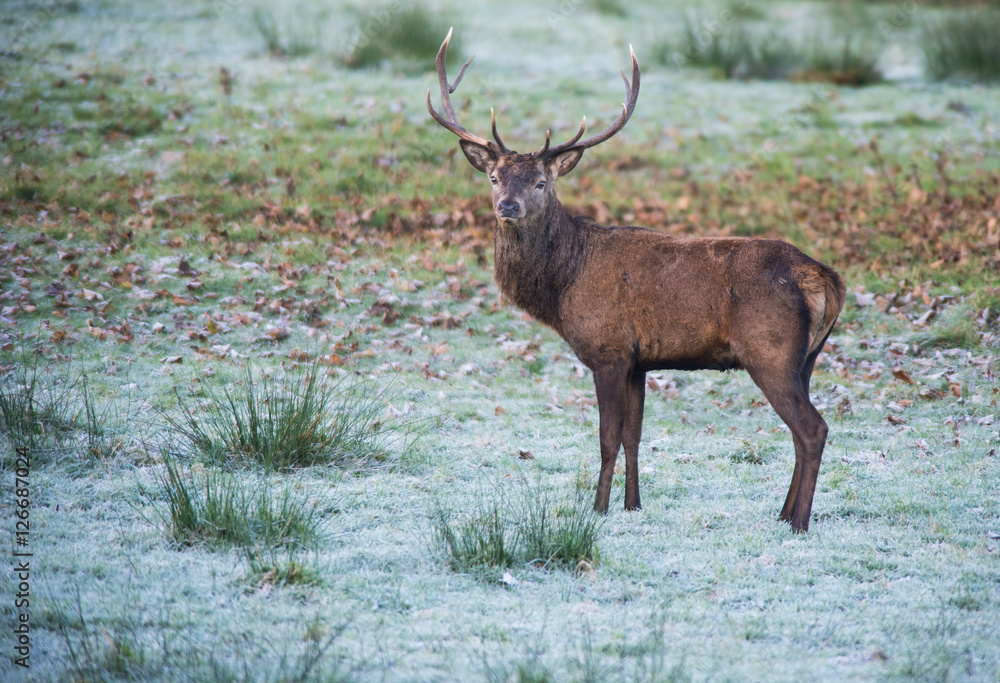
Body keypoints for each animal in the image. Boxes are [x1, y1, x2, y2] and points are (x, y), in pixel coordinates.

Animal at [426, 29, 846, 532]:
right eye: (493, 177)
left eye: (541, 183)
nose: (508, 206)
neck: (563, 286)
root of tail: (824, 278)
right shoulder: (639, 360)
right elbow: (634, 436)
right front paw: (632, 505)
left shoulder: (607, 350)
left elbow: (608, 436)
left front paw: (598, 509)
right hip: (808, 358)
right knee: (802, 431)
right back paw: (783, 515)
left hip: (770, 351)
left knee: (812, 428)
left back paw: (798, 522)